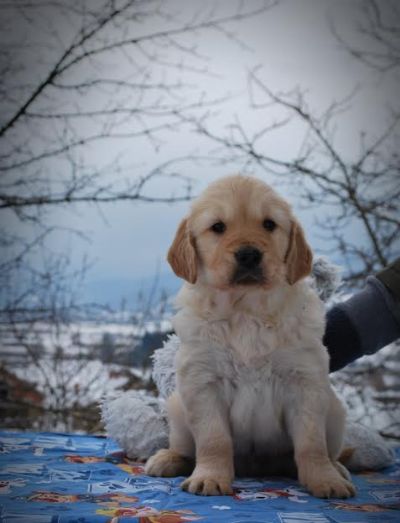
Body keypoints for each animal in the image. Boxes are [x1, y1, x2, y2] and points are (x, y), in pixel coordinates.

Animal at [145, 176, 356, 500]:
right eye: (218, 227)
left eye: (269, 224)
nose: (248, 255)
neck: (247, 309)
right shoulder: (203, 382)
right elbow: (214, 440)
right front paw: (209, 477)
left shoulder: (305, 382)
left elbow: (311, 444)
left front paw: (325, 479)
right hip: (178, 409)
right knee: (185, 448)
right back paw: (168, 459)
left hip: (334, 411)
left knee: (327, 450)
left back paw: (337, 468)